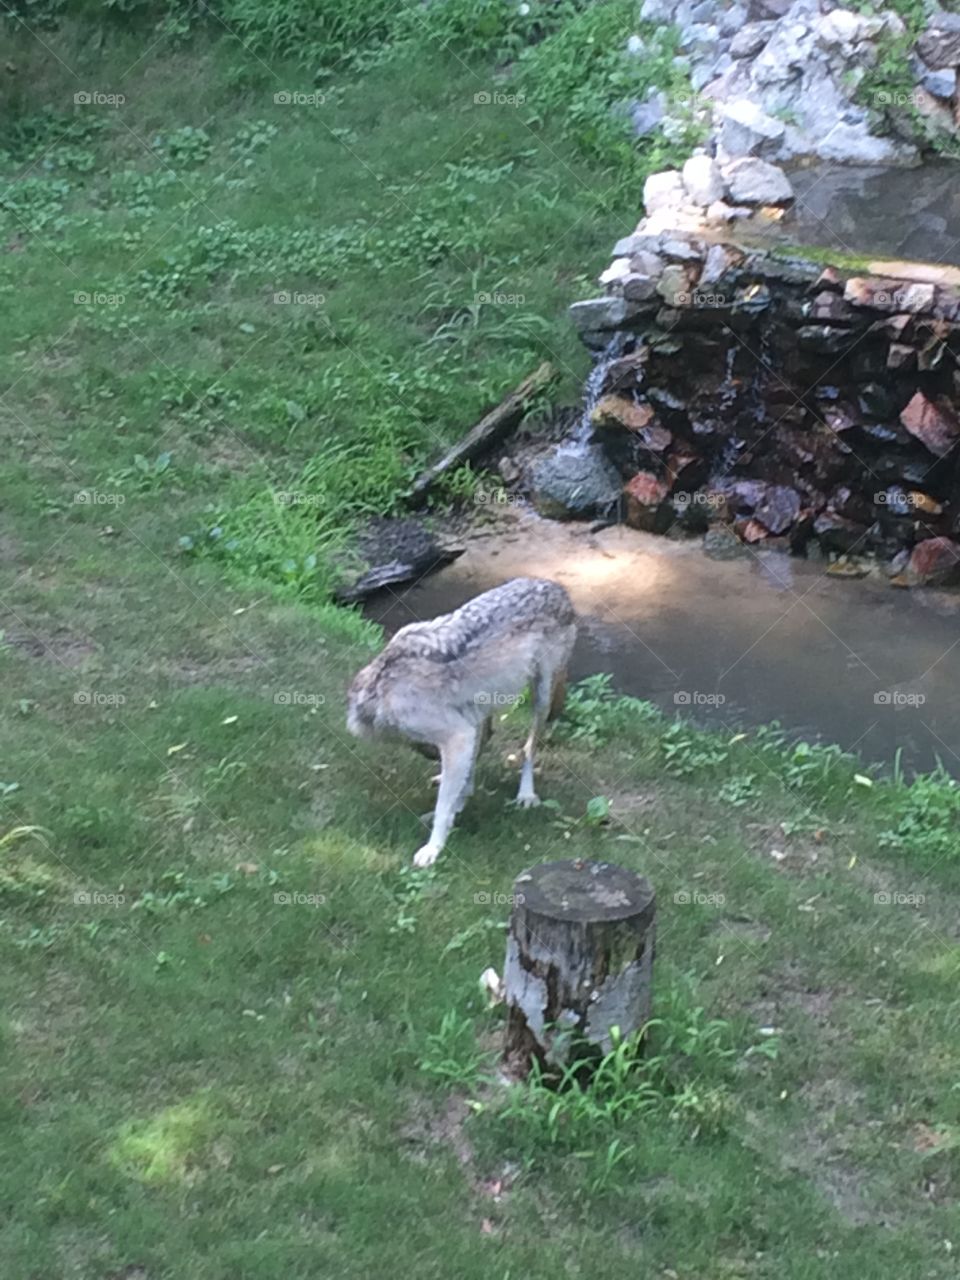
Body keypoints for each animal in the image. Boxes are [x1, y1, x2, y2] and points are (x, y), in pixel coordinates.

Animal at [347, 577, 577, 867]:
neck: (380, 689)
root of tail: (557, 587)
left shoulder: (457, 736)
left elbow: (443, 806)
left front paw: (433, 847)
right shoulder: (465, 728)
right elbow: (461, 782)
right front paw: (457, 803)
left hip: (541, 696)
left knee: (528, 748)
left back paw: (525, 795)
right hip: (482, 705)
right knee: (487, 739)